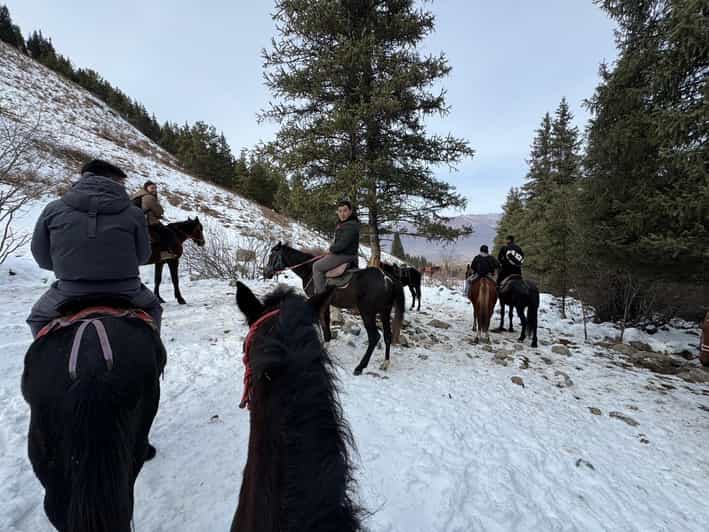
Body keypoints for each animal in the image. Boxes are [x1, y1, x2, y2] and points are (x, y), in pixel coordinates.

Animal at [265, 243, 405, 375]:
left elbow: (322, 323)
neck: (309, 269)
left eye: (272, 256)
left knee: (374, 337)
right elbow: (326, 323)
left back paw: (360, 367)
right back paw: (385, 363)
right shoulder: (326, 304)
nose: (266, 273)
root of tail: (388, 279)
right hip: (384, 311)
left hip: (367, 312)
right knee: (387, 335)